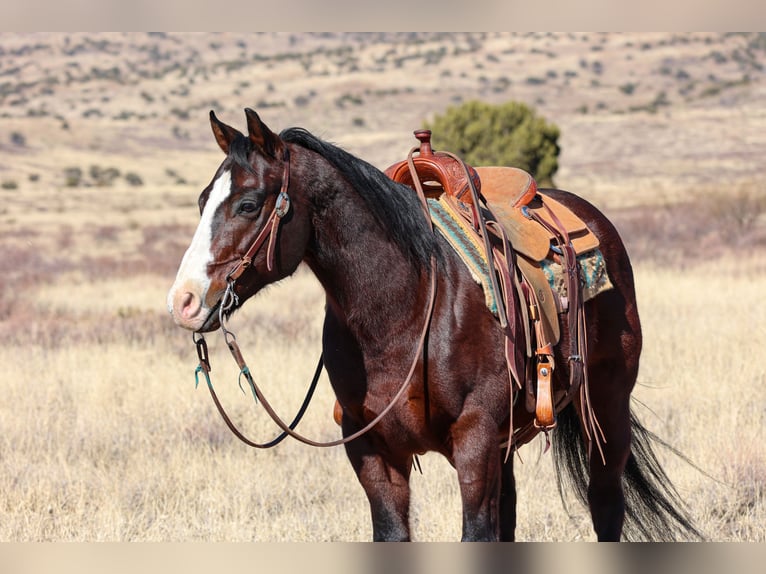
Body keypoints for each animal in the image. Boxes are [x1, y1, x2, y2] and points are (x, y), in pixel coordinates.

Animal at [168, 109, 704, 544]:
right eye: (201, 200)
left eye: (248, 204)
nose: (183, 301)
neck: (402, 313)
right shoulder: (371, 450)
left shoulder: (475, 439)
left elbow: (477, 533)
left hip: (608, 409)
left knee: (605, 504)